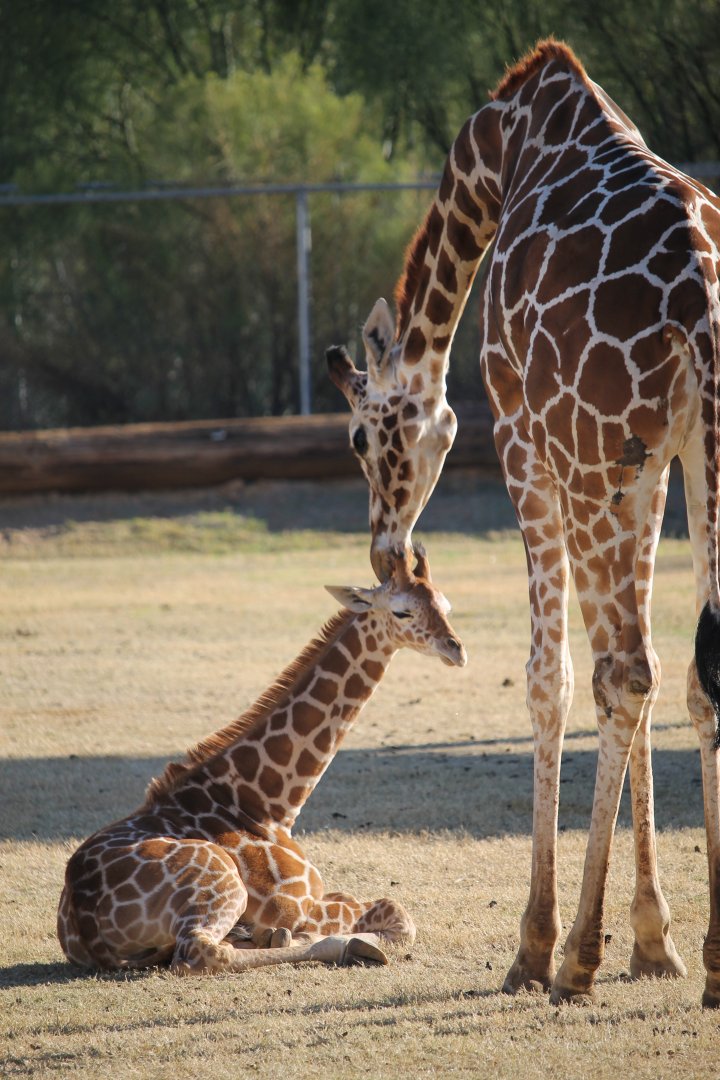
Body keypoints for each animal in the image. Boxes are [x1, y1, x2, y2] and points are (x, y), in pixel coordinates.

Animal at [57, 547, 466, 975]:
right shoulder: (295, 904)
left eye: (445, 605)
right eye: (402, 611)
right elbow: (397, 913)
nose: (455, 648)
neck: (270, 801)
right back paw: (341, 945)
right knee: (200, 952)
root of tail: (85, 922)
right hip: (220, 880)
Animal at [328, 39, 720, 1006]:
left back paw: (569, 958)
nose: (386, 553)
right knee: (683, 669)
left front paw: (540, 944)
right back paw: (708, 963)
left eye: (358, 435)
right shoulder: (659, 461)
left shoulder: (523, 434)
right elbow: (662, 669)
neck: (500, 149)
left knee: (625, 671)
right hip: (684, 451)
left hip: (588, 453)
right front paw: (655, 941)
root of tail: (705, 296)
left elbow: (556, 677)